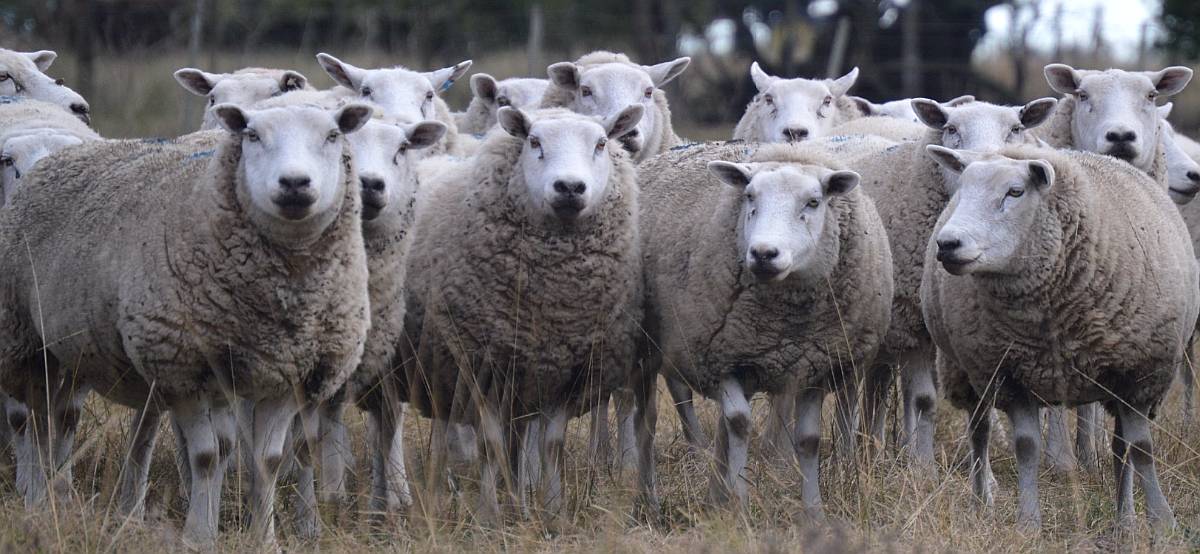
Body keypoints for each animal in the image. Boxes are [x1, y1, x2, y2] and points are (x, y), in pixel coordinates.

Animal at [0, 103, 374, 548]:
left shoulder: (288, 375)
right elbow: (207, 456)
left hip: (77, 353)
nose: (295, 183)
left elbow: (267, 460)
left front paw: (264, 540)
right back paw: (39, 498)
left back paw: (64, 492)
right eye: (252, 135)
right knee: (35, 424)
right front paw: (199, 536)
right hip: (25, 339)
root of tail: (55, 155)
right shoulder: (182, 367)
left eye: (333, 135)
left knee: (62, 417)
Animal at [402, 105, 646, 524]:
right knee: (444, 431)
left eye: (601, 143)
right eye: (534, 142)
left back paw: (516, 494)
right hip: (441, 365)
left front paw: (553, 512)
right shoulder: (481, 365)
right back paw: (444, 487)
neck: (552, 301)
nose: (569, 188)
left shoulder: (565, 372)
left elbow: (552, 445)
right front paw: (490, 516)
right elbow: (488, 444)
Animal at [637, 141, 892, 515]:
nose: (763, 253)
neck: (786, 324)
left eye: (813, 202)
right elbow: (740, 423)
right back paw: (649, 497)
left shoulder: (815, 367)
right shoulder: (721, 359)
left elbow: (808, 440)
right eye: (749, 197)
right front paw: (740, 502)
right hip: (642, 351)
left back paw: (713, 495)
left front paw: (813, 509)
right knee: (647, 421)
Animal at [921, 145, 1197, 533]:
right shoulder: (1012, 375)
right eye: (962, 189)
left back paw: (1125, 520)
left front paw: (1162, 521)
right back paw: (980, 501)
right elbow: (1026, 447)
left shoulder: (1139, 377)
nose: (947, 244)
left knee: (1120, 447)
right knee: (980, 431)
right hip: (966, 369)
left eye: (1015, 192)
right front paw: (1028, 522)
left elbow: (1141, 447)